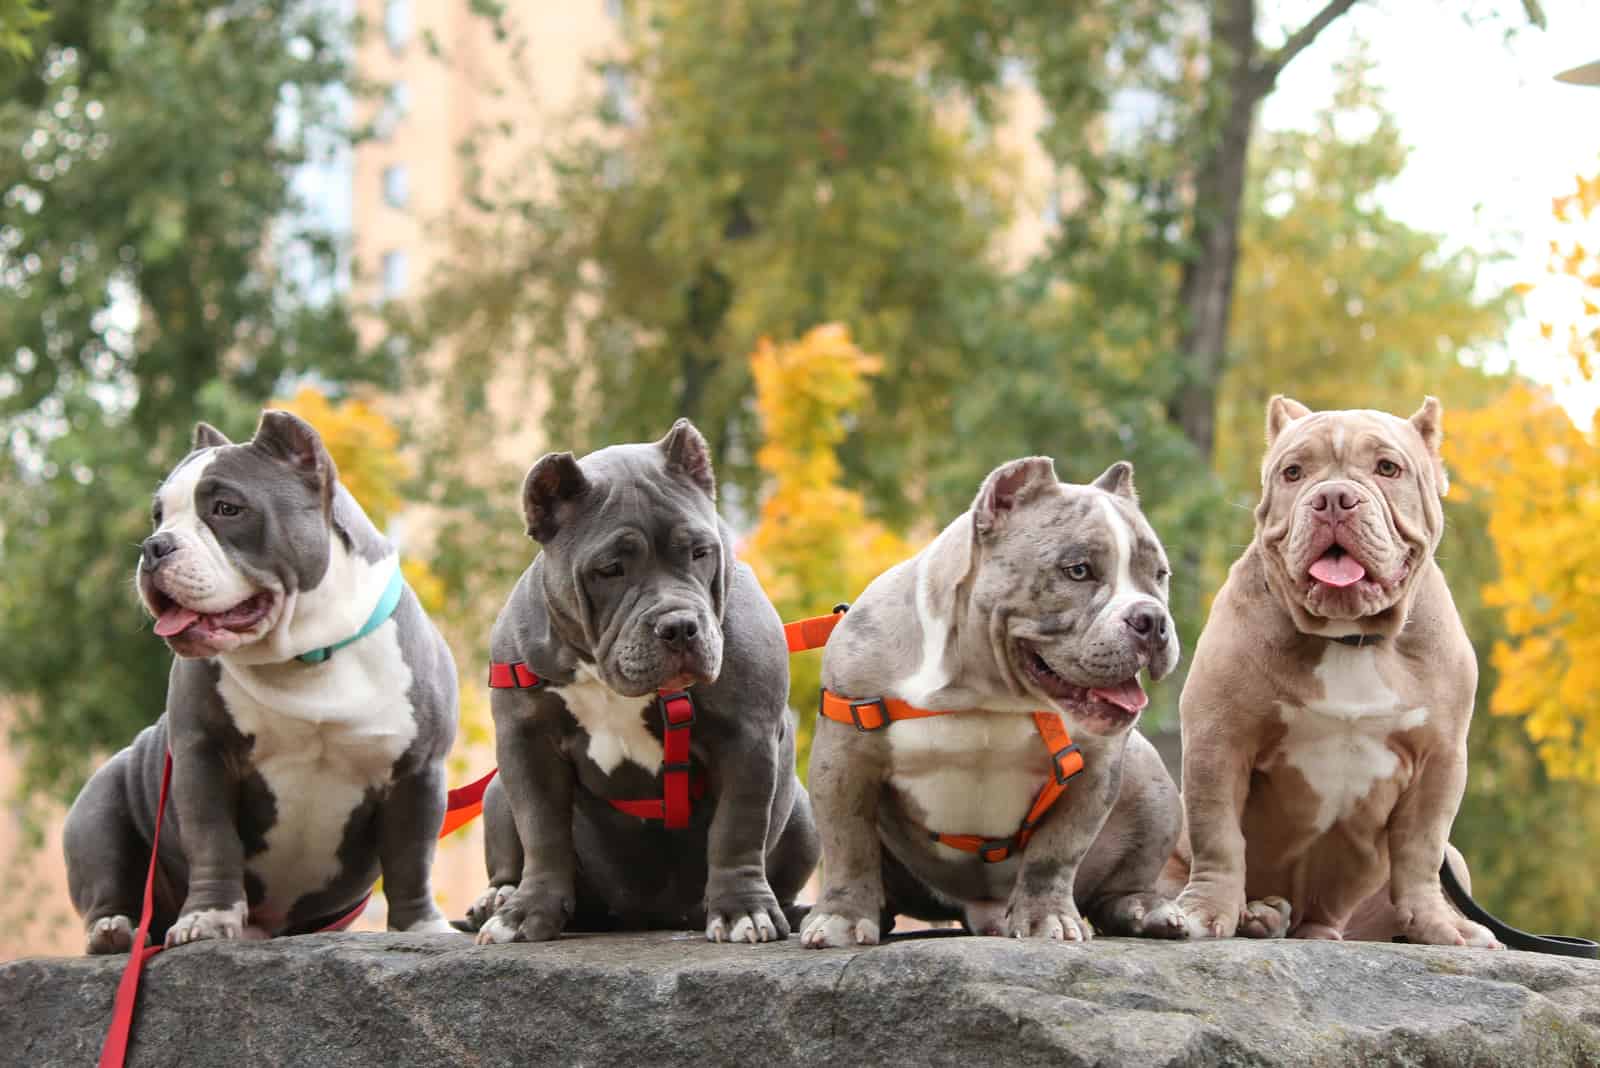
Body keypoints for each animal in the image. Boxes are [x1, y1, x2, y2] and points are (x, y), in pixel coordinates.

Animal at [62, 412, 457, 952]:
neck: (308, 653)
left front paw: (421, 926)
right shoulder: (203, 757)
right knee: (110, 881)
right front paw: (207, 919)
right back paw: (113, 932)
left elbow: (412, 857)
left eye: (227, 508)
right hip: (100, 807)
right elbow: (213, 840)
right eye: (158, 516)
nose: (154, 546)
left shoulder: (418, 771)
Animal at [467, 415, 819, 940]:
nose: (680, 625)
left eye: (700, 552)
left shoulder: (748, 735)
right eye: (610, 569)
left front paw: (743, 910)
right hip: (494, 791)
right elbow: (542, 833)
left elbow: (737, 829)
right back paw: (497, 899)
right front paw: (526, 914)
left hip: (803, 813)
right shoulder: (527, 742)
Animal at [806, 454, 1184, 946]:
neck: (985, 692)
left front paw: (1047, 918)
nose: (1152, 619)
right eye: (1078, 570)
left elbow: (1056, 852)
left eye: (1160, 575)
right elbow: (847, 842)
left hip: (1150, 777)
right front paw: (843, 917)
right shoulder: (844, 756)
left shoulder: (1097, 768)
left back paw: (1145, 909)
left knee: (1115, 888)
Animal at [1164, 396, 1497, 946]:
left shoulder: (1441, 760)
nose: (1334, 497)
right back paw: (1247, 914)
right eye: (1293, 473)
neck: (1349, 637)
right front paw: (1206, 912)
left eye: (1388, 468)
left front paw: (1438, 925)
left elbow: (1422, 849)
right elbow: (1219, 836)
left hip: (1438, 872)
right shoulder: (1219, 740)